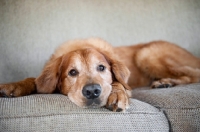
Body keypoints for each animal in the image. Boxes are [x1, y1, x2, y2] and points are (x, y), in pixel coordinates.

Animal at [0, 38, 200, 111]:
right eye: (72, 72)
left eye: (102, 68)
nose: (92, 91)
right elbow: (33, 80)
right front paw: (12, 86)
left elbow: (118, 83)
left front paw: (117, 95)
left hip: (147, 54)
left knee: (193, 74)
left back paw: (165, 81)